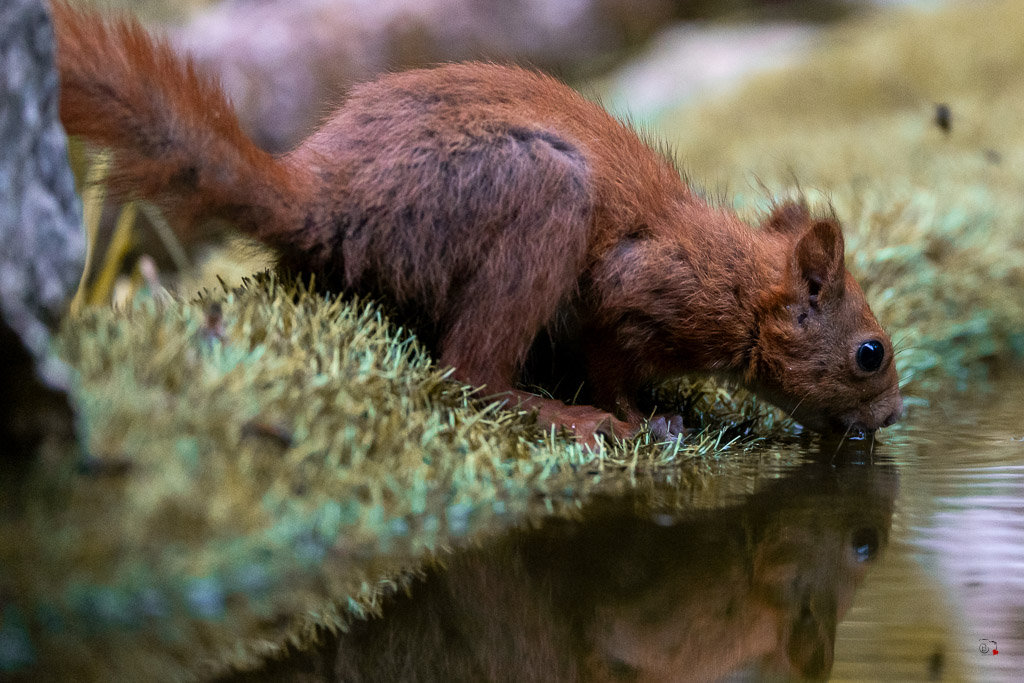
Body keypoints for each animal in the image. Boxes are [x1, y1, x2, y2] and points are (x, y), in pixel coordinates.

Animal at [51, 1, 905, 444]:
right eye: (871, 353)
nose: (894, 416)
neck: (739, 283)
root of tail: (322, 198)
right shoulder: (647, 287)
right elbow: (610, 356)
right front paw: (641, 415)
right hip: (539, 194)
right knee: (469, 371)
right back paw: (563, 413)